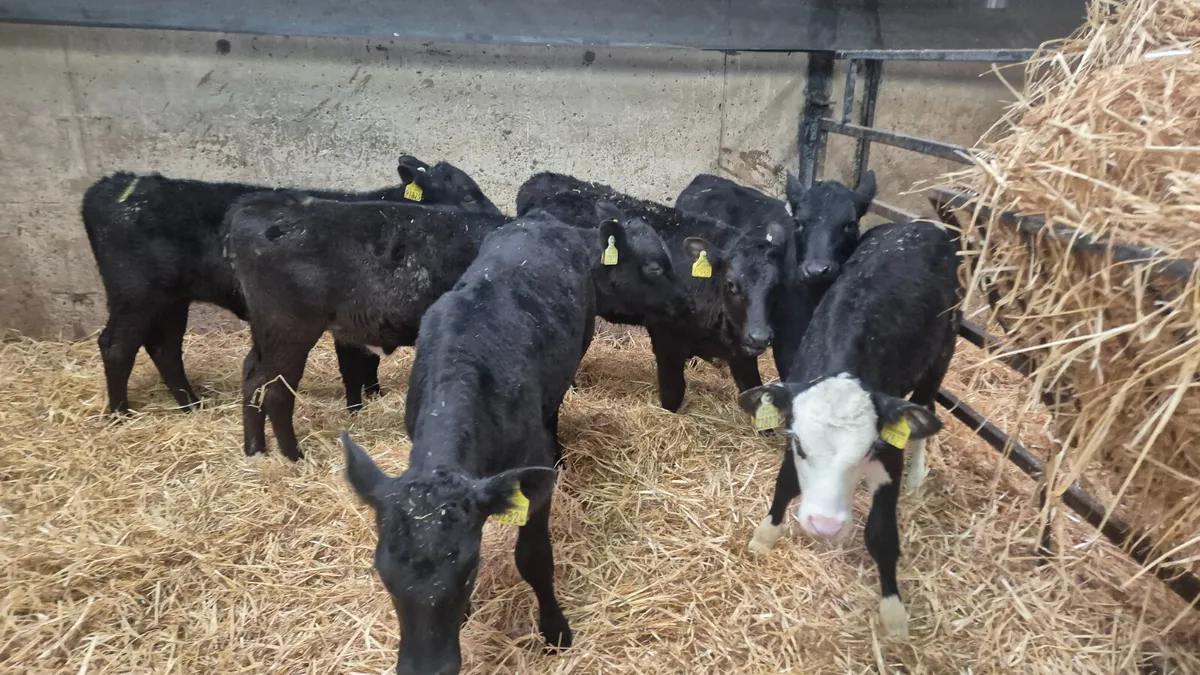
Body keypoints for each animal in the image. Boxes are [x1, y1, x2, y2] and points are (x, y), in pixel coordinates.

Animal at [81, 155, 499, 415]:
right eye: (468, 193)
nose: (499, 219)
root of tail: (114, 183)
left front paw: (375, 394)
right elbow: (355, 363)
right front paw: (358, 406)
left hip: (171, 299)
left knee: (164, 348)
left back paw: (191, 405)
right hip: (134, 294)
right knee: (117, 346)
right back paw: (120, 413)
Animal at [341, 211, 689, 675]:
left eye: (468, 570)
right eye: (383, 573)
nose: (426, 668)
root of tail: (542, 219)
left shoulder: (533, 481)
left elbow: (533, 557)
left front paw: (555, 629)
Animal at [516, 172, 792, 411]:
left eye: (778, 285)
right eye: (732, 284)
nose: (760, 337)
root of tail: (542, 179)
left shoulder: (741, 353)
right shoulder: (666, 336)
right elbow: (672, 393)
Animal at [736, 220, 960, 639]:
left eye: (869, 450)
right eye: (801, 447)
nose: (824, 526)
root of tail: (921, 223)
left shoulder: (890, 452)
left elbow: (882, 533)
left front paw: (893, 611)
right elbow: (785, 483)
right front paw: (766, 534)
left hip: (939, 360)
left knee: (927, 409)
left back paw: (918, 474)